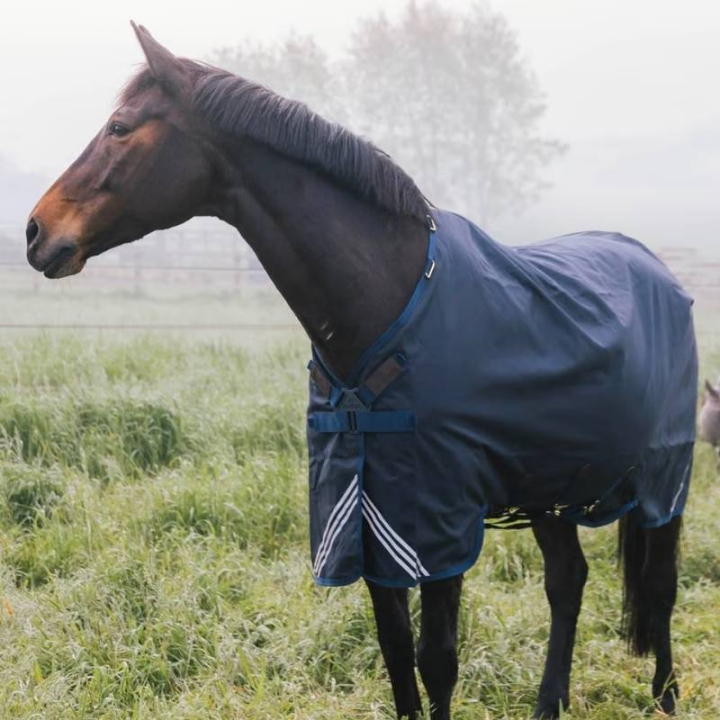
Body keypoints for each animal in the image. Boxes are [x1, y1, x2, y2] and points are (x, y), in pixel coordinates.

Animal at [26, 23, 698, 719]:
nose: (35, 231)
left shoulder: (436, 522)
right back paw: (549, 703)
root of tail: (657, 268)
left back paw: (667, 695)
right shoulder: (368, 514)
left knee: (660, 585)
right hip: (552, 486)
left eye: (120, 128)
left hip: (664, 481)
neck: (388, 302)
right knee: (568, 582)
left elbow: (438, 661)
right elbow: (396, 653)